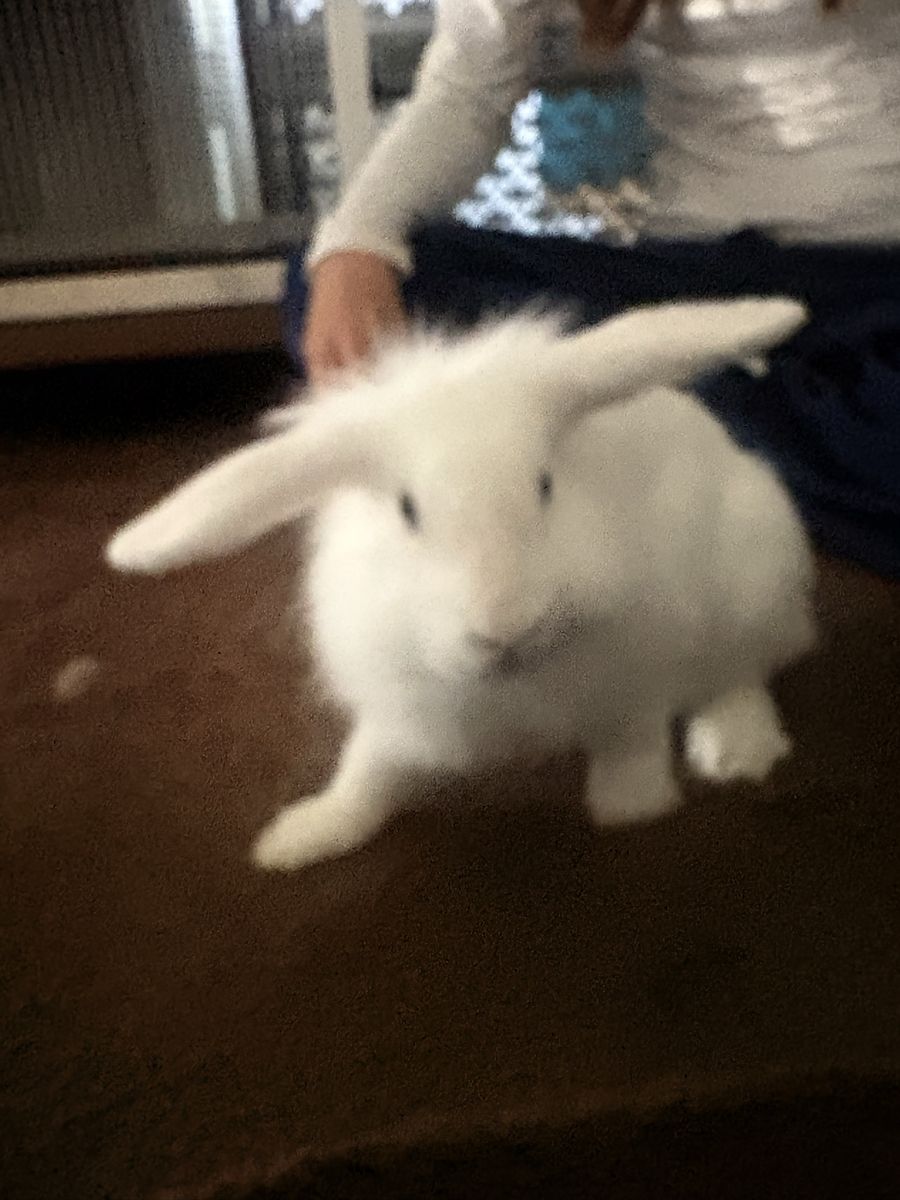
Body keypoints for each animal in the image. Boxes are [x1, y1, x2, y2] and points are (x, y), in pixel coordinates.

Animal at [106, 298, 816, 872]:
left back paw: (739, 749)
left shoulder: (635, 670)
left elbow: (630, 740)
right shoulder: (399, 707)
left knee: (742, 671)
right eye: (408, 511)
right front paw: (299, 838)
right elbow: (367, 772)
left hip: (750, 583)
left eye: (545, 485)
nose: (506, 626)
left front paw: (631, 806)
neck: (515, 684)